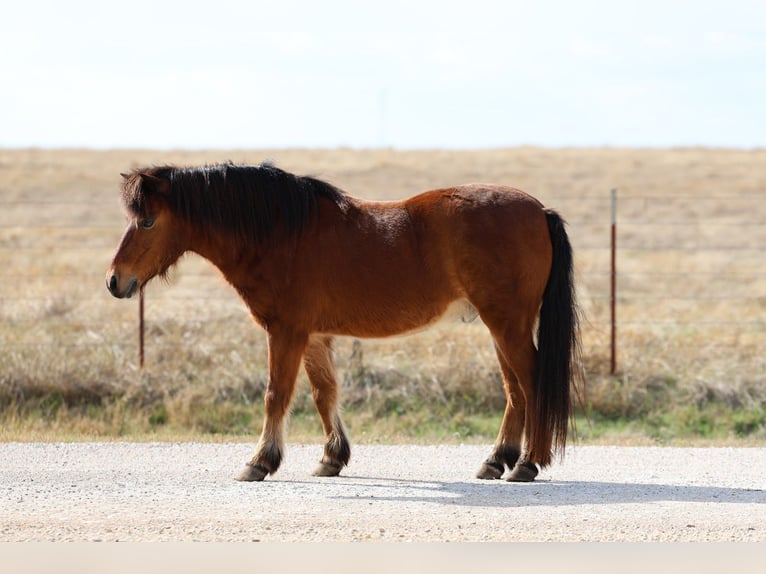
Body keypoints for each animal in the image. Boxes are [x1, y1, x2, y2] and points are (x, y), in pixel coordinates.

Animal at [106, 162, 581, 482]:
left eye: (147, 220)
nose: (115, 281)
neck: (281, 234)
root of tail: (539, 211)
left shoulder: (286, 332)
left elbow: (276, 395)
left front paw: (259, 461)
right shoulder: (315, 337)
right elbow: (324, 393)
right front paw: (332, 458)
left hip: (508, 324)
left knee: (531, 384)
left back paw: (527, 463)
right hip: (499, 325)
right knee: (515, 391)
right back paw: (496, 460)